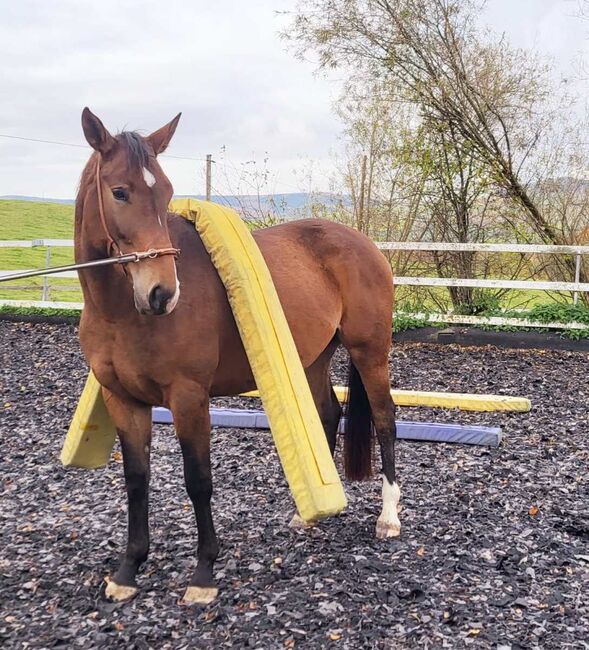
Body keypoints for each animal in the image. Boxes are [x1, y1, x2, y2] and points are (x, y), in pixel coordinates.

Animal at [76, 109, 400, 604]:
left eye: (166, 191)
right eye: (119, 191)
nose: (162, 293)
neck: (119, 313)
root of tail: (364, 243)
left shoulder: (189, 398)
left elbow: (198, 480)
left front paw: (203, 574)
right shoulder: (123, 400)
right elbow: (135, 481)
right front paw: (128, 571)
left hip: (370, 352)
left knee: (384, 420)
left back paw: (389, 519)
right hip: (311, 359)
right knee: (328, 413)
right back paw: (304, 515)